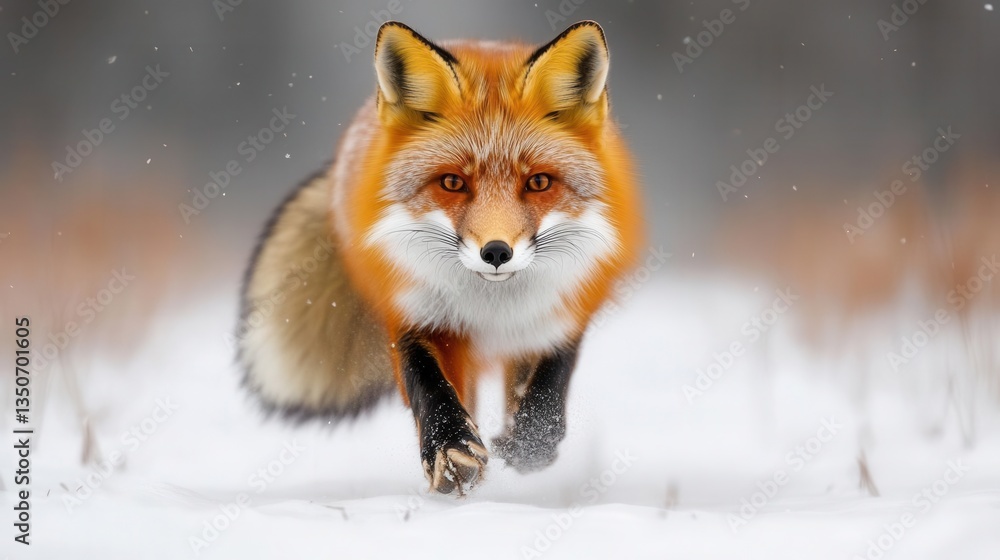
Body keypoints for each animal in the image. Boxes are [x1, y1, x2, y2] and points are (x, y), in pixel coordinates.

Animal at [239, 20, 644, 495]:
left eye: (539, 182)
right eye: (452, 182)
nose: (496, 252)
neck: (492, 307)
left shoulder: (561, 313)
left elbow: (548, 391)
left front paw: (530, 445)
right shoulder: (414, 314)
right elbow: (429, 388)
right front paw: (450, 451)